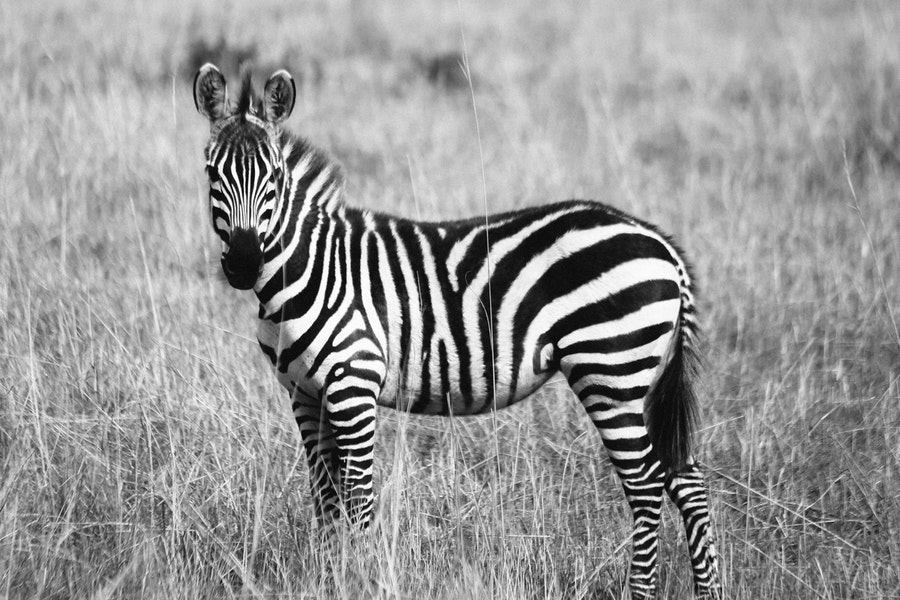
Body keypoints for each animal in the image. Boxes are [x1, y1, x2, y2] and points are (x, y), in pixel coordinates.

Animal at [193, 63, 721, 599]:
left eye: (275, 177)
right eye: (211, 172)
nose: (242, 263)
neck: (310, 269)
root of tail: (663, 246)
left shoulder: (353, 385)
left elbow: (358, 498)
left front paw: (356, 578)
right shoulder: (303, 392)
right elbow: (326, 496)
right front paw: (327, 574)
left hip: (611, 370)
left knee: (646, 485)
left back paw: (643, 589)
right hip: (639, 376)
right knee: (686, 478)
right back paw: (710, 589)